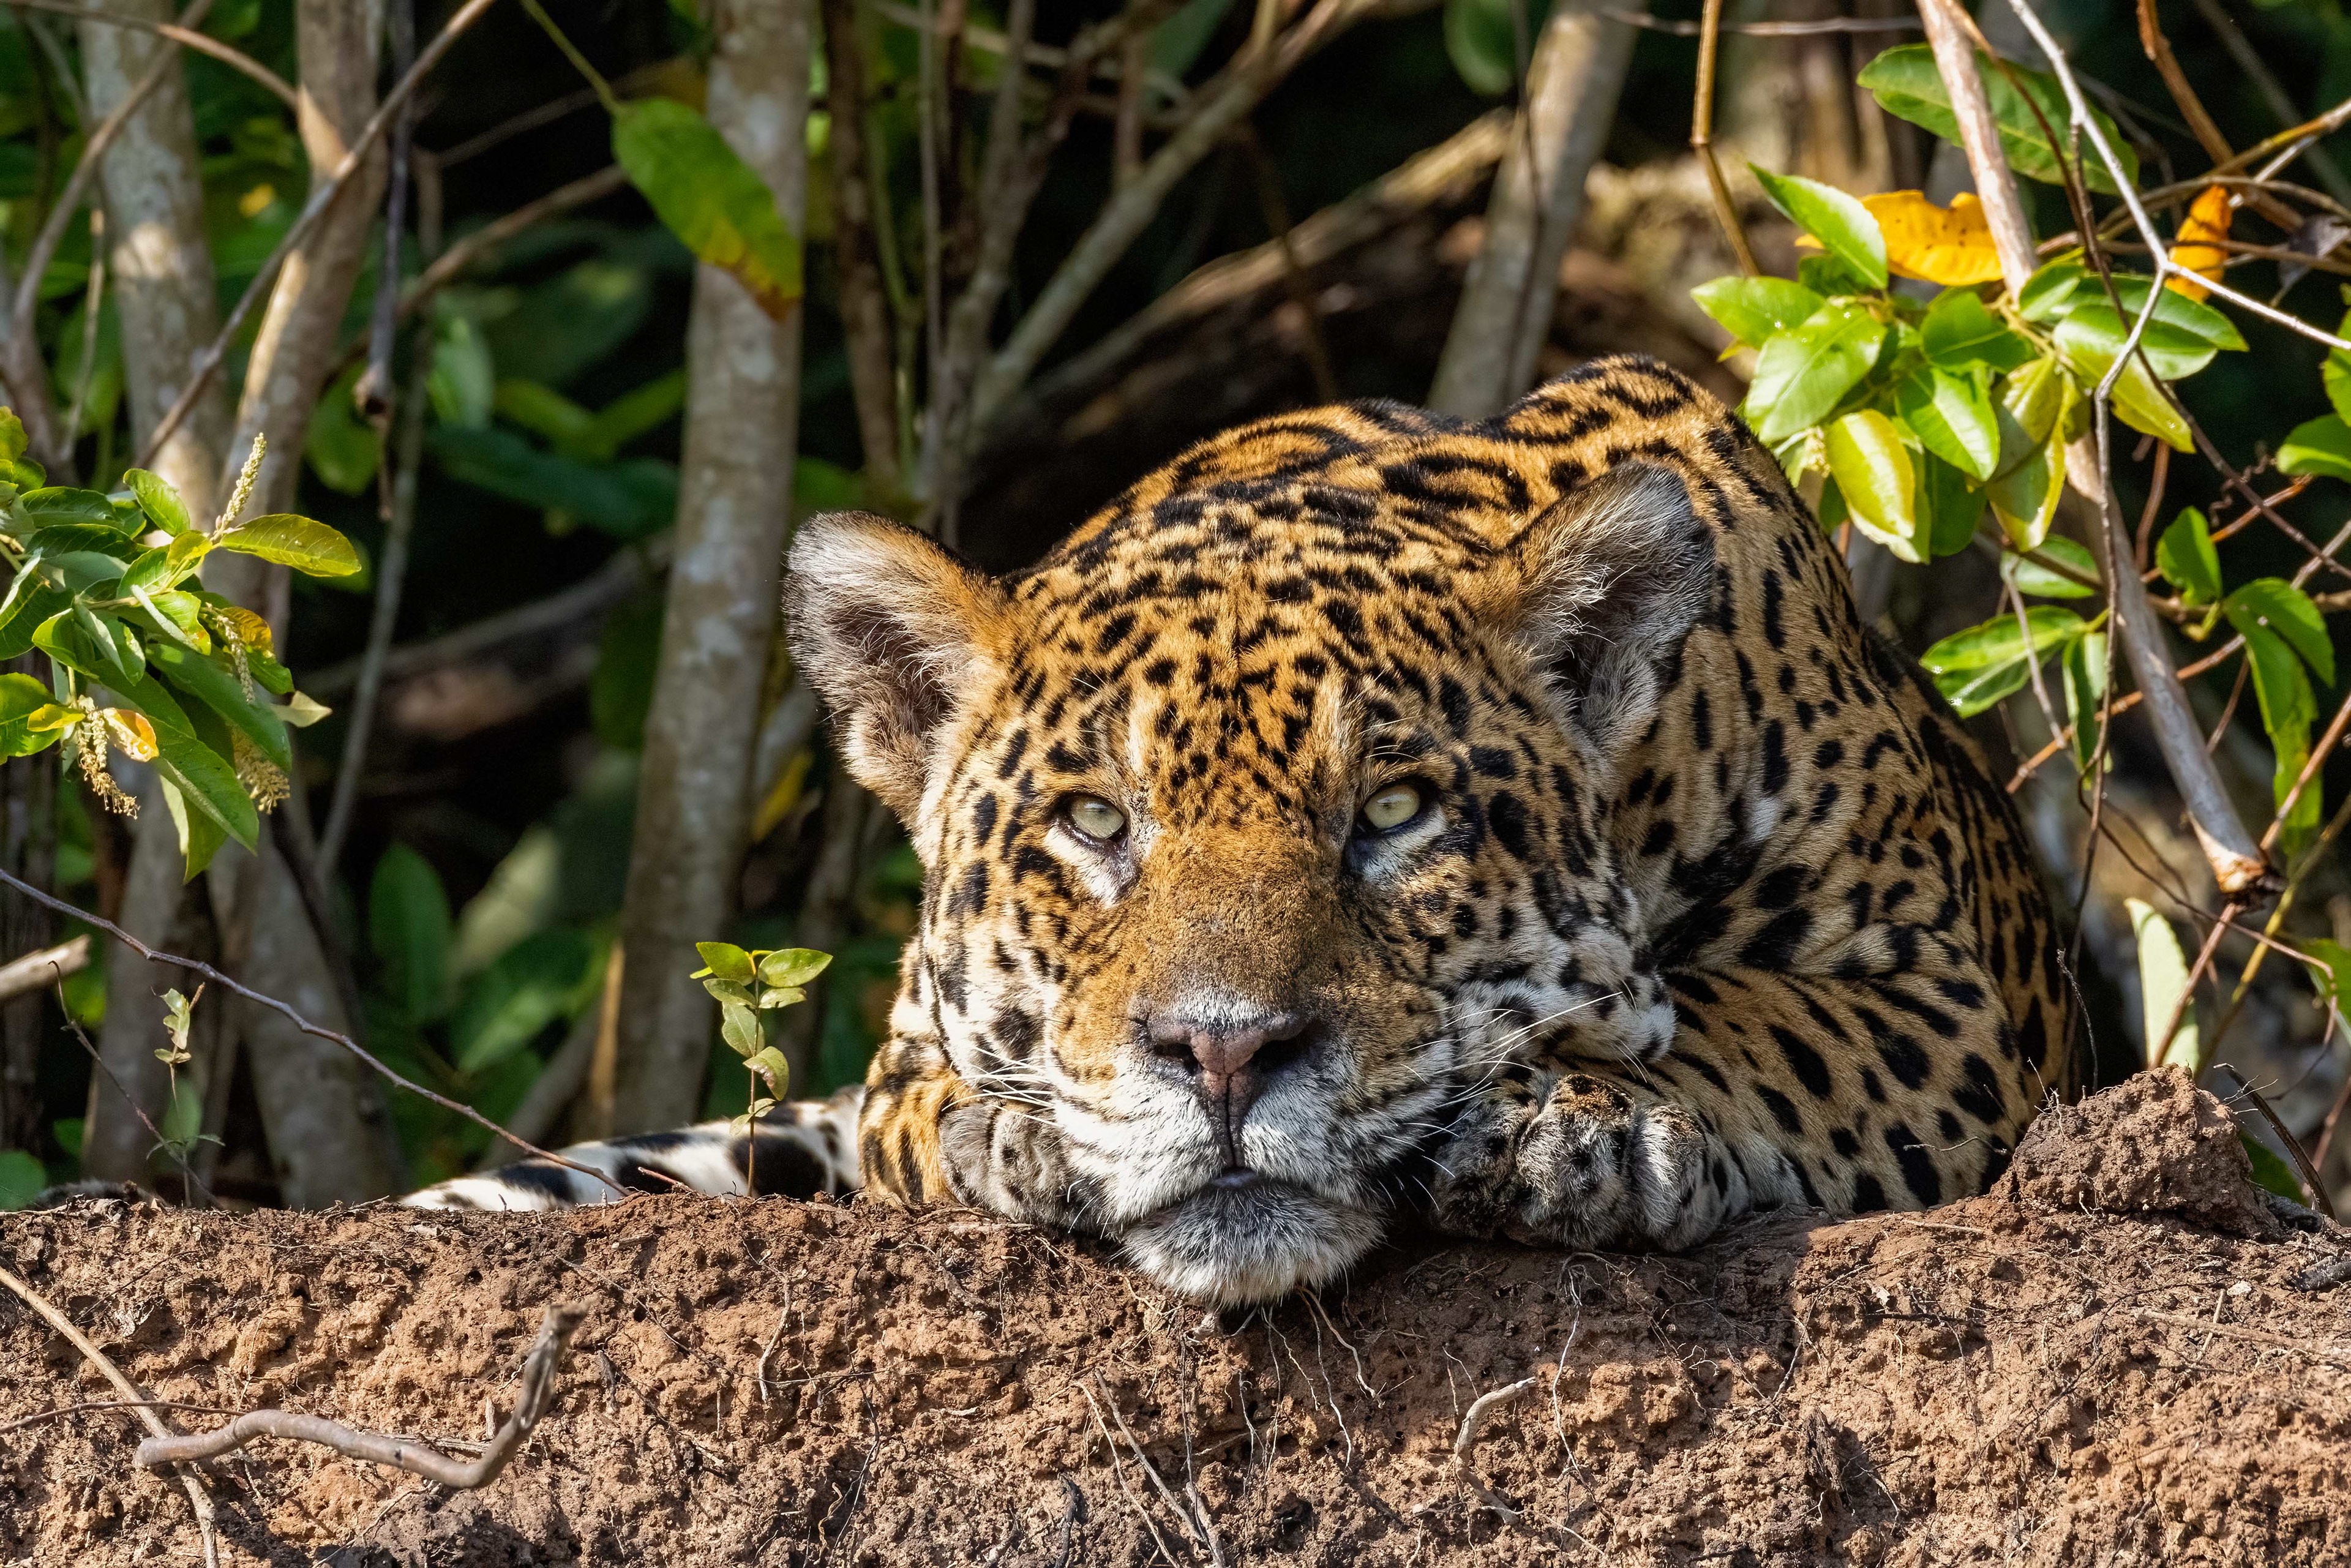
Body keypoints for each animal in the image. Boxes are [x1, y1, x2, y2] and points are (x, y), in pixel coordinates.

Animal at [409, 355, 2075, 1307]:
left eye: (1394, 811)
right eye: (1096, 820)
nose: (1221, 1052)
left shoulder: (1954, 1005)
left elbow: (1761, 1017)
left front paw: (1580, 1115)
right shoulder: (895, 1056)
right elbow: (935, 1108)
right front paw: (1022, 1129)